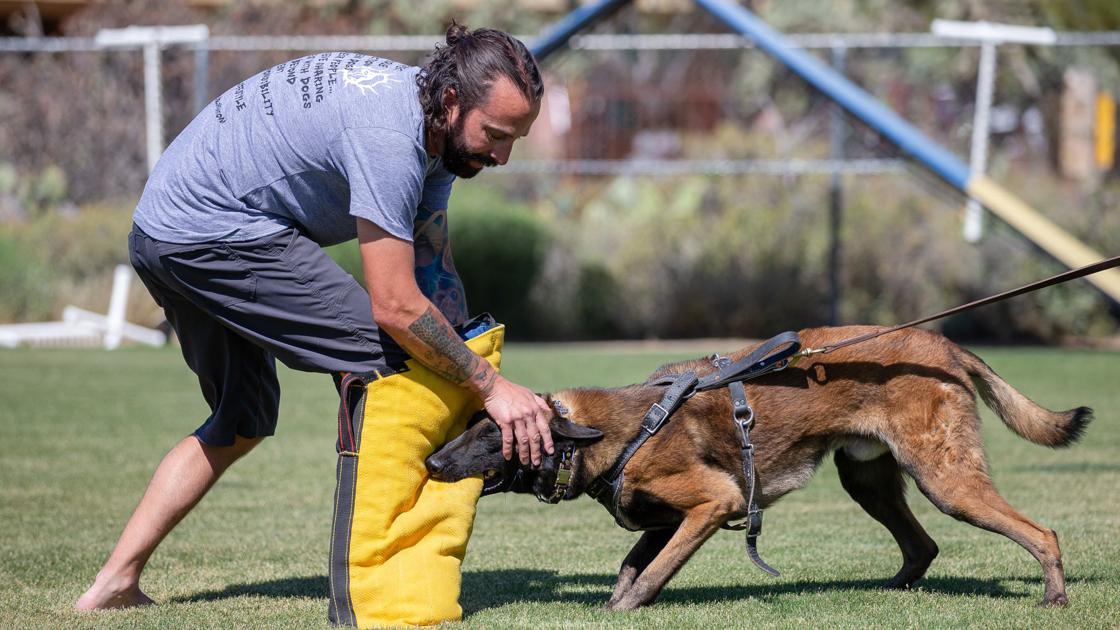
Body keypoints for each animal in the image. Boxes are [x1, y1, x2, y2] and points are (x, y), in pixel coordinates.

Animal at [423, 325, 1088, 605]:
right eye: (470, 425)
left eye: (492, 434)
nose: (430, 460)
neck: (623, 427)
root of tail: (945, 346)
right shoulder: (669, 519)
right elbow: (631, 566)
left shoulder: (713, 504)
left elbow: (652, 573)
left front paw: (628, 609)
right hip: (868, 480)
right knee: (922, 546)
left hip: (945, 480)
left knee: (1043, 532)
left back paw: (1053, 596)